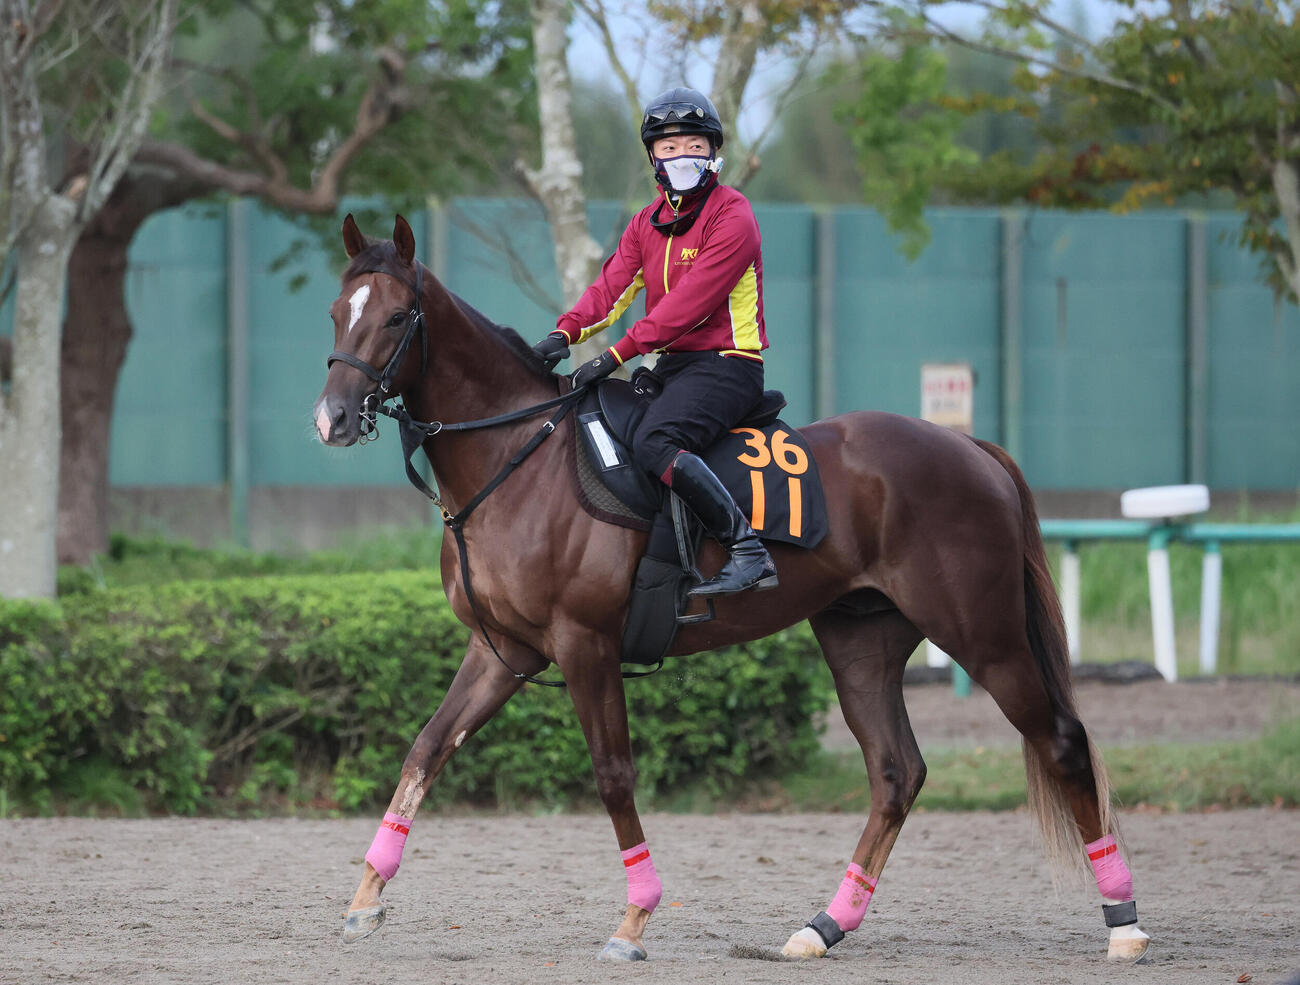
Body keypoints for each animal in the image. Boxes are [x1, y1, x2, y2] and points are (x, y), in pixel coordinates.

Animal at [312, 214, 1151, 964]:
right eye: (335, 311)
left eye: (395, 316)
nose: (332, 418)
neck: (520, 456)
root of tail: (969, 446)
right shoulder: (504, 651)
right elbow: (426, 748)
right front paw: (365, 897)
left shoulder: (584, 646)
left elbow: (613, 776)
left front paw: (635, 917)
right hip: (862, 639)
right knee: (896, 772)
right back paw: (825, 924)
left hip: (984, 632)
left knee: (1062, 742)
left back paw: (1124, 920)